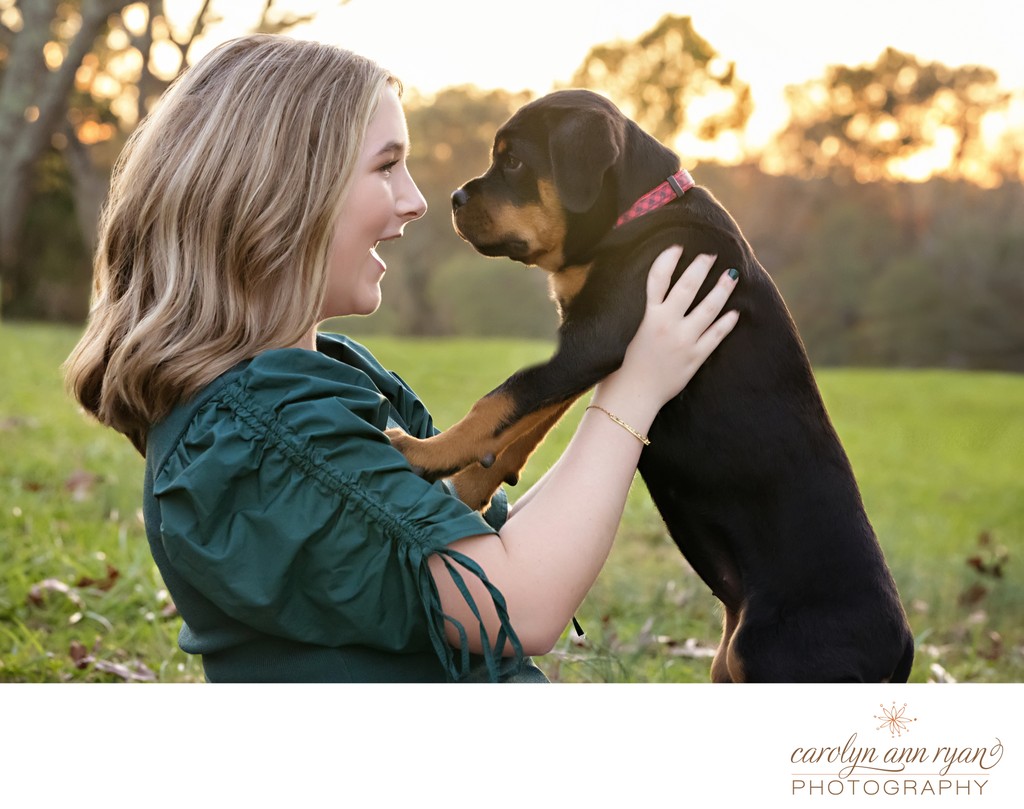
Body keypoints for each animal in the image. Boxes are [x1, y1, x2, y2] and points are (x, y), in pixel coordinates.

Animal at [387, 88, 917, 684]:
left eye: (516, 162)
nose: (453, 198)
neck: (639, 215)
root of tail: (902, 648)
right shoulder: (587, 348)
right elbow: (525, 423)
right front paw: (470, 488)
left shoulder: (595, 338)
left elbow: (502, 400)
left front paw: (422, 453)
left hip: (772, 659)